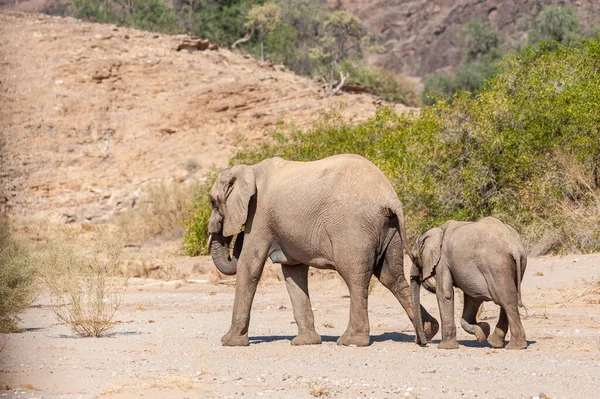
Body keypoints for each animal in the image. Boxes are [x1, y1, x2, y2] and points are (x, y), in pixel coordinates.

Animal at [209, 153, 438, 346]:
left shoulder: (260, 215)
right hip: (390, 230)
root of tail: (390, 198)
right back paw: (428, 331)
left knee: (355, 277)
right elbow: (293, 272)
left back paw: (351, 341)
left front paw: (229, 342)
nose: (236, 236)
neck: (251, 168)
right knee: (392, 277)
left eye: (212, 201)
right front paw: (305, 342)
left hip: (353, 228)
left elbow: (250, 266)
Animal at [410, 217, 528, 352]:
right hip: (518, 263)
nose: (424, 343)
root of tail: (514, 247)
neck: (437, 231)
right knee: (509, 298)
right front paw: (482, 332)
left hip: (496, 265)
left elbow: (444, 293)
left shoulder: (442, 261)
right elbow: (472, 299)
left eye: (413, 257)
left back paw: (515, 346)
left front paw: (445, 347)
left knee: (506, 300)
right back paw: (498, 343)